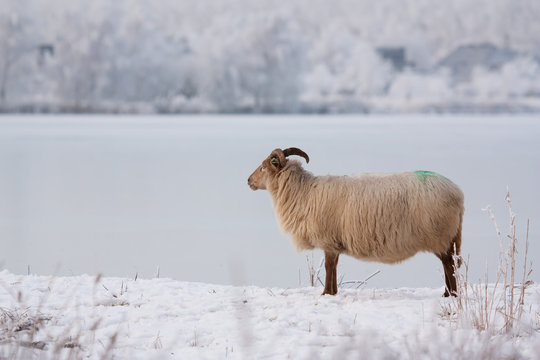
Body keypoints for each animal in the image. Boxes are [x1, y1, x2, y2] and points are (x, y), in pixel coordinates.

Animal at [249, 146, 464, 296]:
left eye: (263, 167)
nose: (248, 181)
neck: (304, 192)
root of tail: (458, 193)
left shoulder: (328, 239)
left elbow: (328, 267)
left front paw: (326, 293)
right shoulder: (334, 242)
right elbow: (334, 266)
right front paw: (333, 292)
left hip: (441, 236)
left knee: (449, 265)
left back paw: (450, 294)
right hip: (448, 237)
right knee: (450, 264)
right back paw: (448, 293)